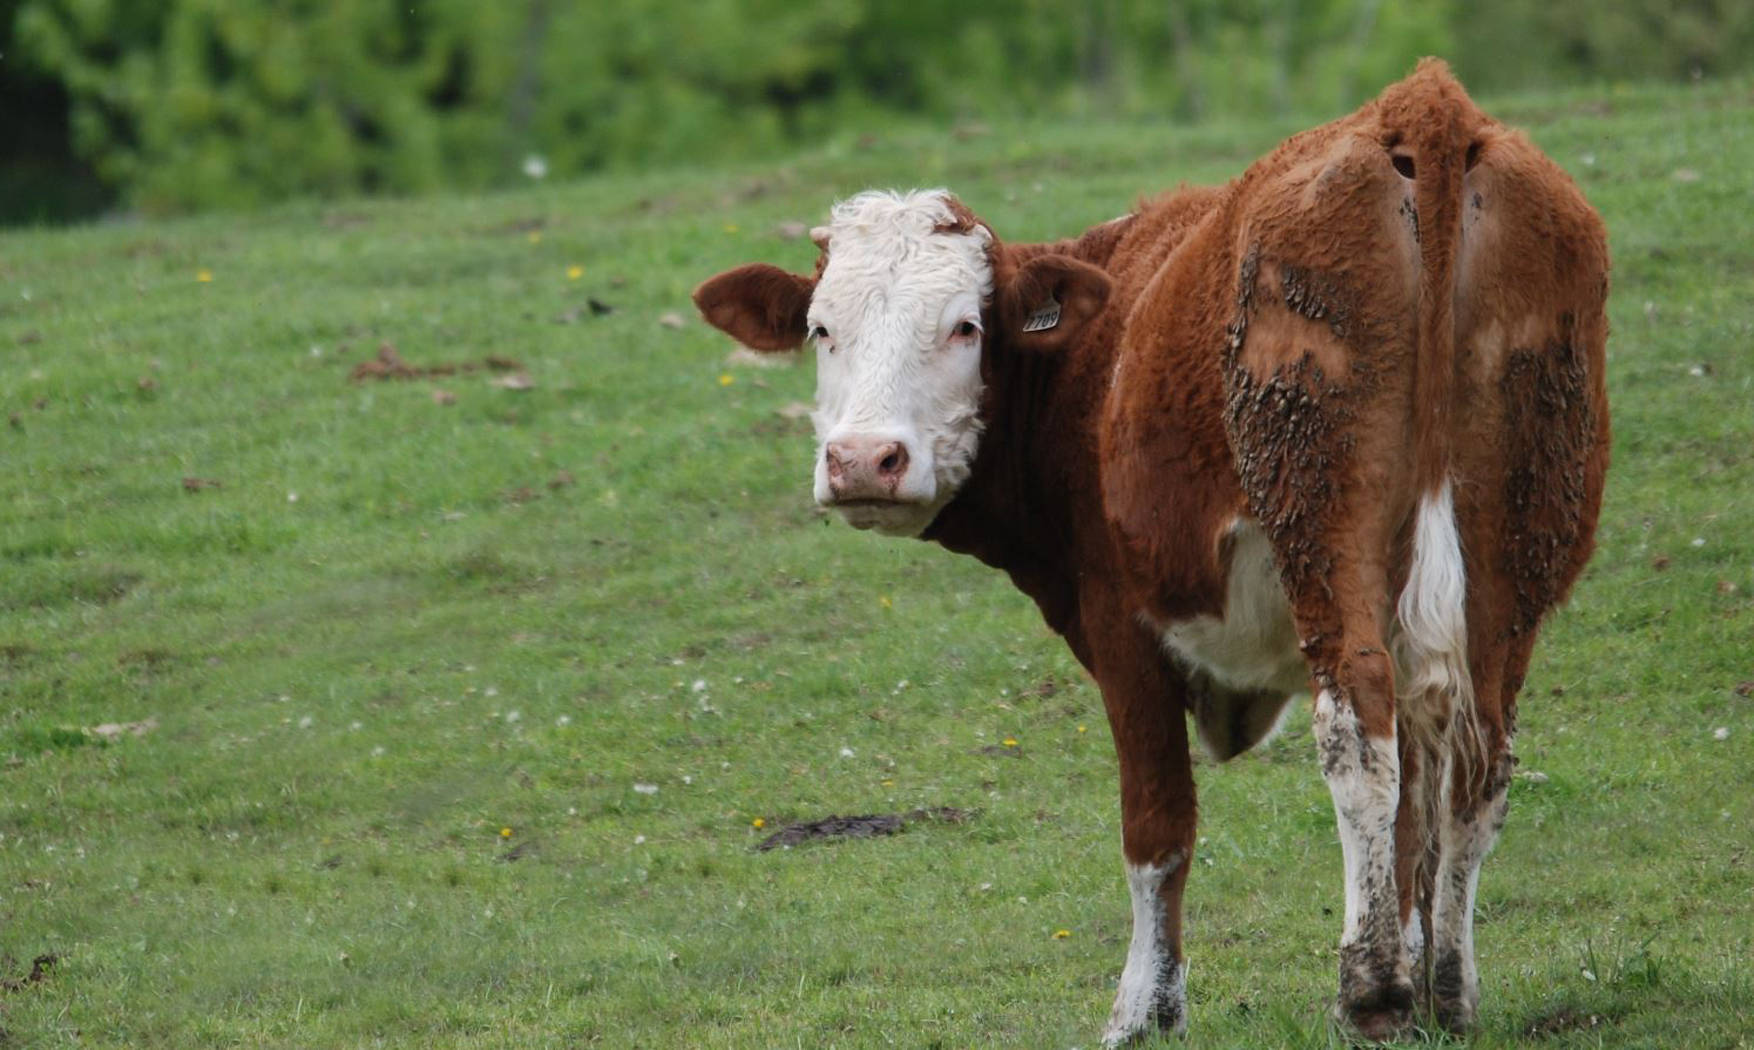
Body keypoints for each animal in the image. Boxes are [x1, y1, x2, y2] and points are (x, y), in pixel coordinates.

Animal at [691, 61, 1606, 1044]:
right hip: (1520, 534)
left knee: (1359, 730)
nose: (864, 459)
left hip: (1323, 521)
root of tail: (1423, 106)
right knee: (1477, 756)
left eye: (966, 326)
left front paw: (1144, 1008)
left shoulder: (1120, 622)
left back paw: (1370, 989)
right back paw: (1446, 988)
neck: (1093, 358)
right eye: (822, 328)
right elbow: (1412, 815)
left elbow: (1157, 828)